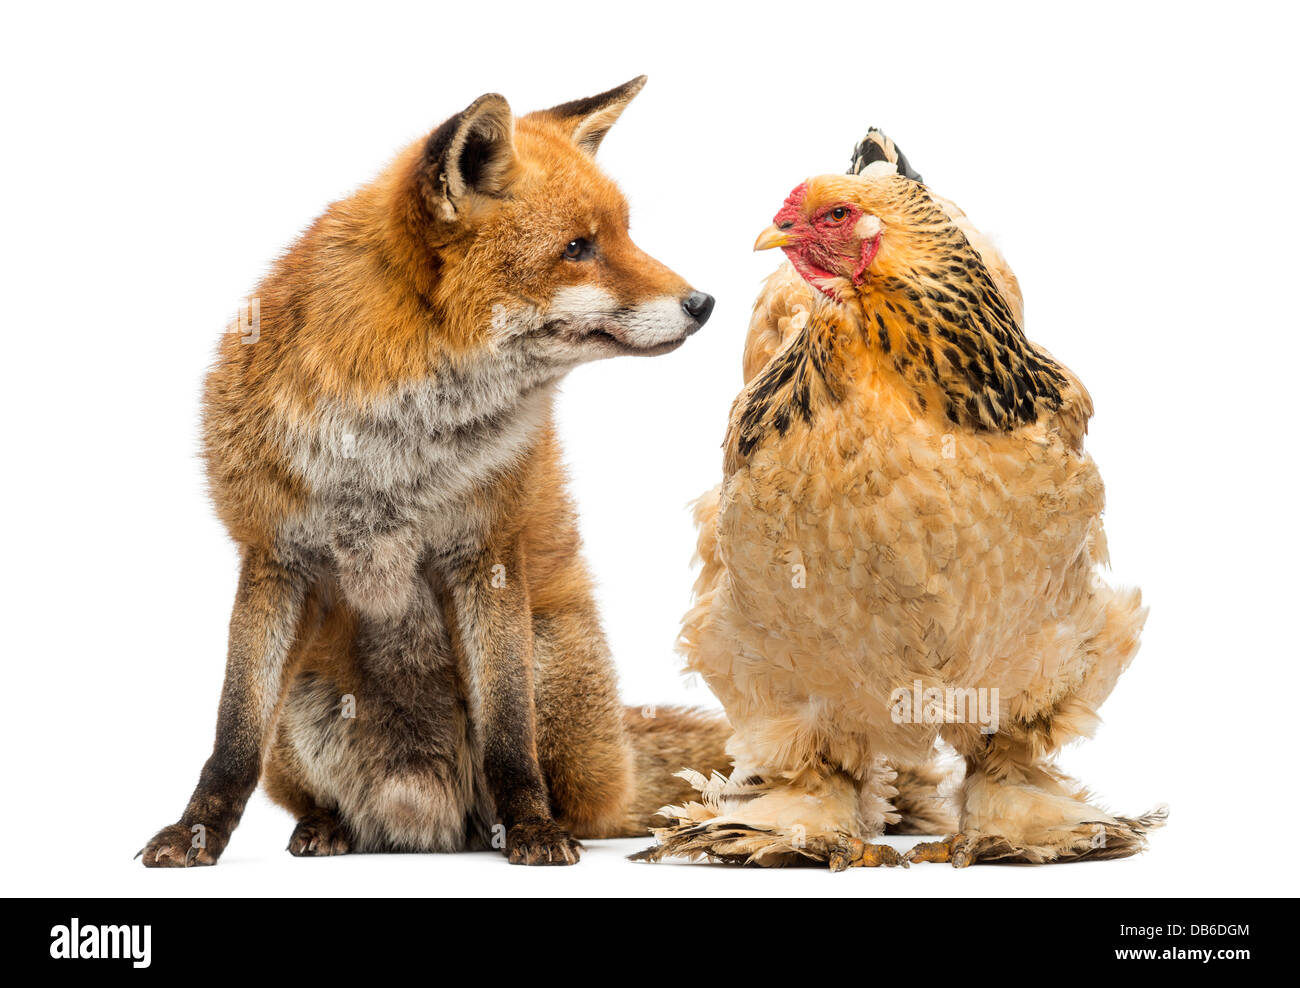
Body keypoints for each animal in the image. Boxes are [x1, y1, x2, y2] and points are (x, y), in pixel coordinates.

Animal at [142, 77, 738, 863]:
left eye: (625, 236)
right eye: (578, 248)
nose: (704, 303)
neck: (394, 449)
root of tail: (426, 824)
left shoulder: (487, 554)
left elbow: (508, 736)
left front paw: (533, 829)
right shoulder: (272, 556)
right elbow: (232, 734)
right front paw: (197, 831)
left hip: (552, 658)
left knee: (580, 799)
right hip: (304, 699)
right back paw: (327, 825)